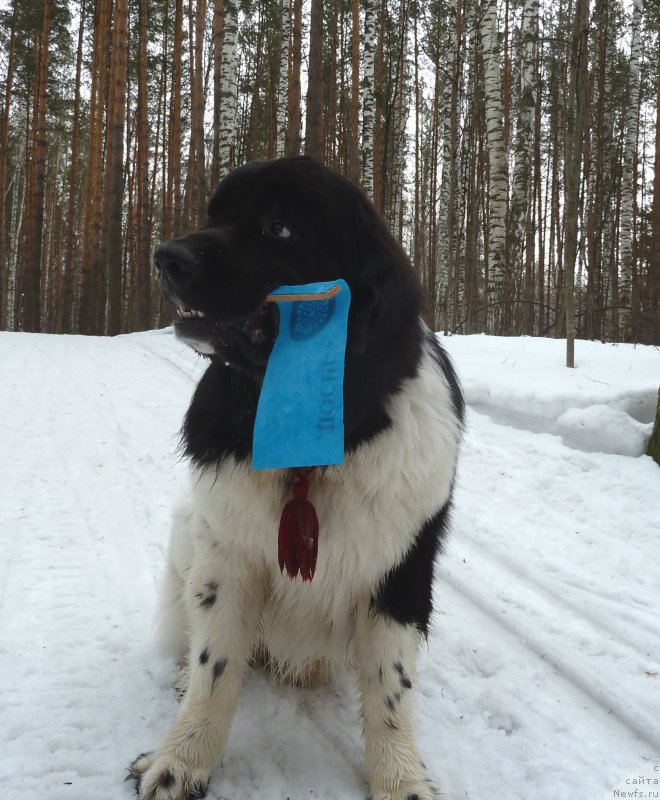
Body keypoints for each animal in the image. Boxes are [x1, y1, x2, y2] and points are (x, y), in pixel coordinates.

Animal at [130, 158, 464, 800]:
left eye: (279, 228)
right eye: (214, 214)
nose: (166, 256)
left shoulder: (401, 567)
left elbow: (390, 687)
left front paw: (400, 778)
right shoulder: (227, 554)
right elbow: (216, 667)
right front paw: (181, 759)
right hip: (188, 531)